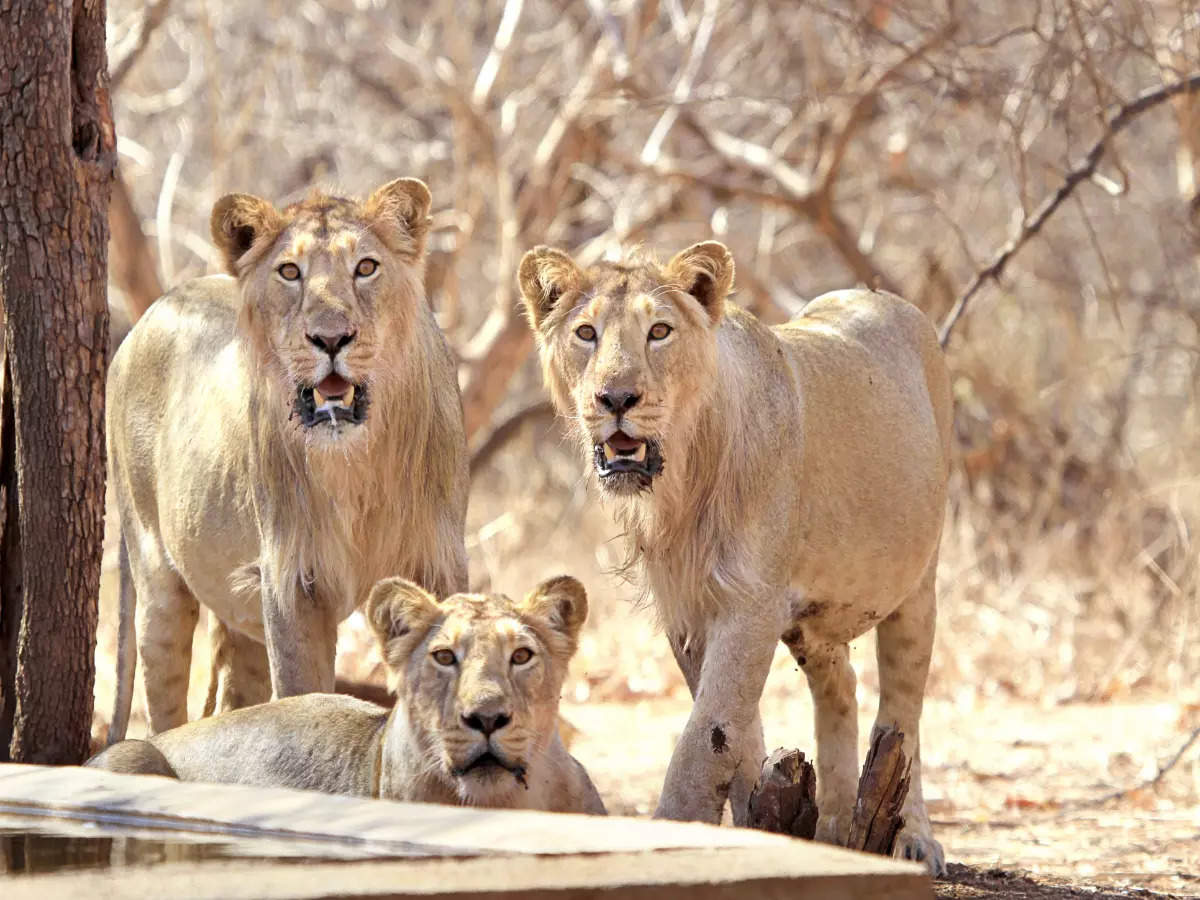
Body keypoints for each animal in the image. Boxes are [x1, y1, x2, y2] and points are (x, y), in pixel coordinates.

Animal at [105, 180, 468, 744]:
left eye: (366, 267)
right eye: (290, 272)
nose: (331, 339)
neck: (357, 464)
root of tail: (150, 312)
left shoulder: (439, 563)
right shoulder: (292, 581)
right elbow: (302, 694)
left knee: (233, 700)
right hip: (157, 579)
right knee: (165, 705)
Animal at [520, 243, 950, 878]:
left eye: (659, 331)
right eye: (585, 333)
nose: (616, 400)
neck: (683, 479)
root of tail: (882, 297)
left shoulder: (750, 602)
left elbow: (707, 735)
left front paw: (672, 835)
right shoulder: (690, 610)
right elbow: (738, 738)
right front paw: (760, 827)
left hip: (917, 584)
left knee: (904, 714)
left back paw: (912, 838)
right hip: (814, 620)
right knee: (841, 686)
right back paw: (834, 828)